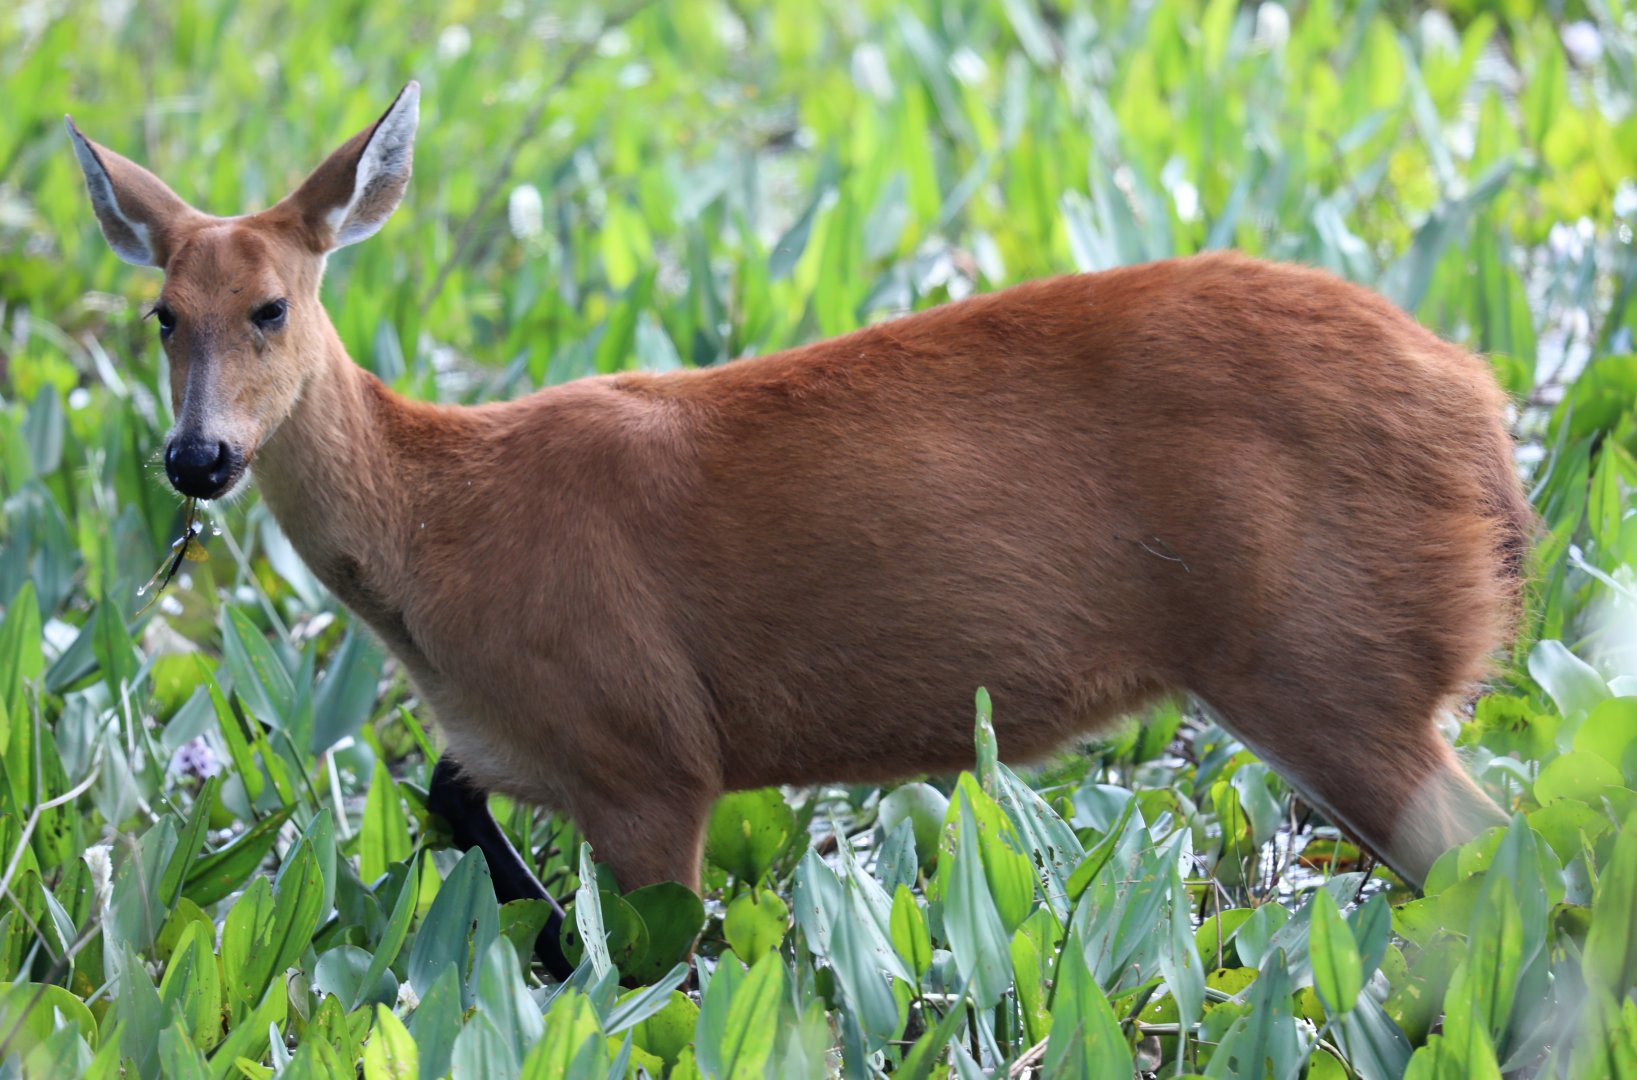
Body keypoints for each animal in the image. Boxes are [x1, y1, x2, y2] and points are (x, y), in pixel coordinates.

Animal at [68, 81, 1532, 979]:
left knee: (1507, 865)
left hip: (1331, 660)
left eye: (270, 307)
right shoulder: (526, 744)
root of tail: (1485, 417)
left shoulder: (647, 750)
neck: (442, 539)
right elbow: (452, 803)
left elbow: (659, 972)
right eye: (162, 316)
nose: (198, 458)